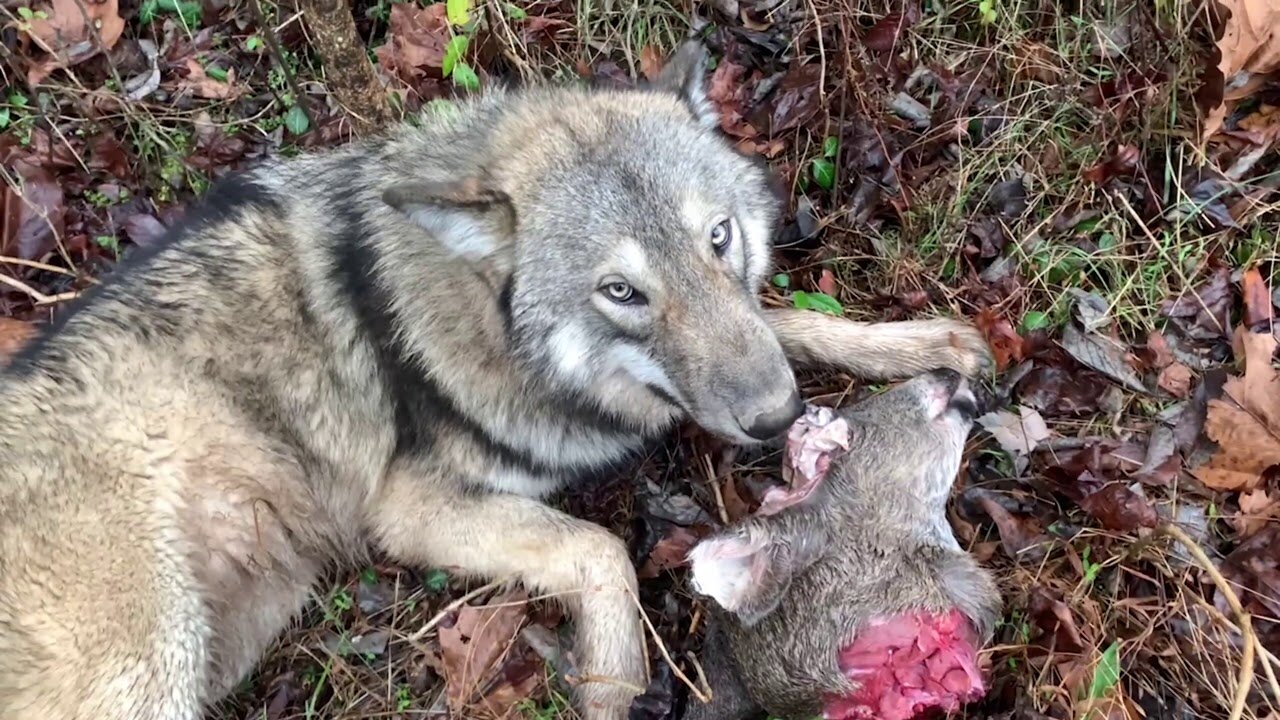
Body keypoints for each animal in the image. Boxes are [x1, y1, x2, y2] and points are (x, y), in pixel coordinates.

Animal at [0, 41, 993, 717]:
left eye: (719, 238)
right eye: (622, 292)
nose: (780, 416)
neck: (492, 334)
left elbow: (785, 322)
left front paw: (921, 345)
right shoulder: (410, 510)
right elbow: (601, 552)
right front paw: (615, 687)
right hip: (149, 665)